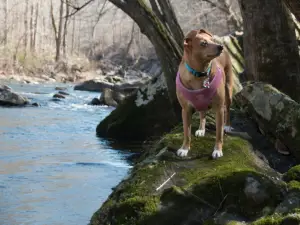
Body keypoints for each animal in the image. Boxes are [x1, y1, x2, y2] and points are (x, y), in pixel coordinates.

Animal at [175, 29, 233, 159]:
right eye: (203, 43)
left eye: (213, 40)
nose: (220, 46)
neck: (200, 73)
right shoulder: (185, 110)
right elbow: (186, 133)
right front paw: (184, 148)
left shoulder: (219, 109)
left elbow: (218, 133)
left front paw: (217, 150)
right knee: (202, 112)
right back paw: (201, 129)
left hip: (228, 89)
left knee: (227, 108)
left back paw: (227, 125)